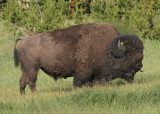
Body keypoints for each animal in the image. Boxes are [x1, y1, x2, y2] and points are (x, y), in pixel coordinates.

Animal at [13, 22, 144, 94]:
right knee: (31, 81)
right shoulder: (83, 72)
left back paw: (23, 95)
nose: (140, 65)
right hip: (33, 68)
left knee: (22, 81)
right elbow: (78, 82)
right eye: (130, 54)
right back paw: (35, 94)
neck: (109, 49)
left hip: (26, 69)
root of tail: (23, 39)